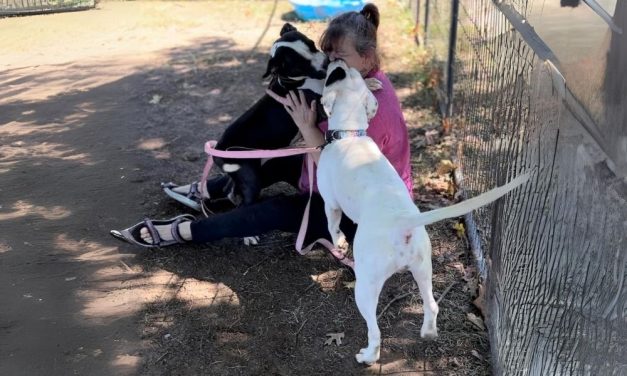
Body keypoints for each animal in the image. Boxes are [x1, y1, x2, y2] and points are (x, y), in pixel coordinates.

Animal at [318, 59, 528, 364]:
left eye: (336, 74)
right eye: (346, 72)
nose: (337, 60)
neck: (350, 133)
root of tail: (403, 222)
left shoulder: (330, 202)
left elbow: (332, 226)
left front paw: (339, 244)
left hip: (366, 286)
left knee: (375, 331)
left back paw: (368, 356)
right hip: (423, 269)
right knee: (432, 304)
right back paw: (428, 332)